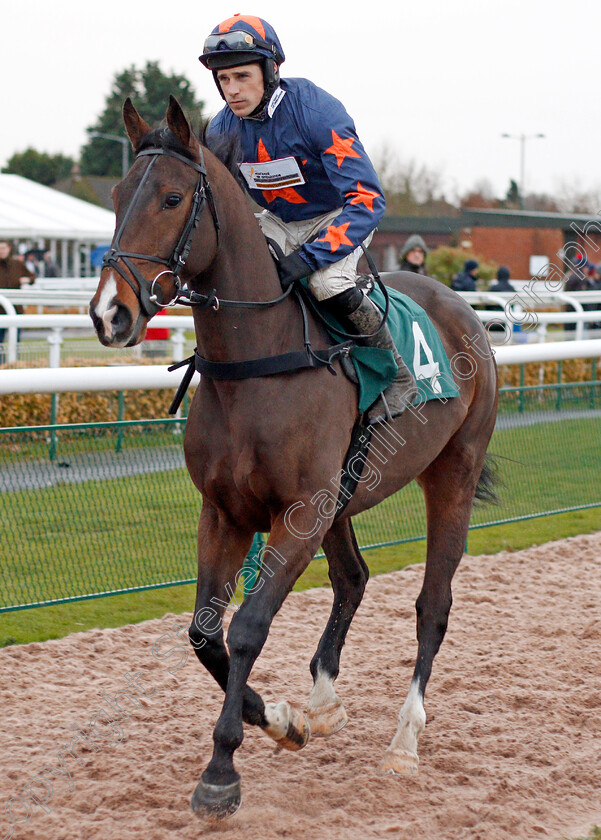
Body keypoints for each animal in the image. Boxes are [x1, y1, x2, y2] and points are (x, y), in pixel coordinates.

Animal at [90, 97, 496, 812]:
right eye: (115, 195)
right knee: (353, 577)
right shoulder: (225, 511)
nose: (110, 313)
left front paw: (222, 768)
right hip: (345, 496)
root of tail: (461, 306)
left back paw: (404, 741)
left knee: (433, 604)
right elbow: (204, 633)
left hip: (454, 470)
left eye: (171, 198)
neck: (256, 362)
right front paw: (283, 719)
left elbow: (248, 626)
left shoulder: (299, 512)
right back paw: (324, 703)